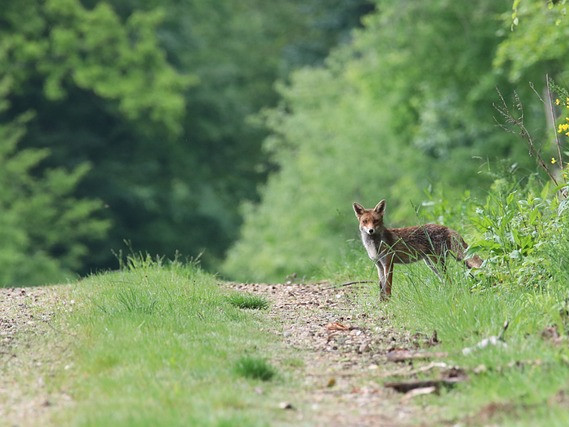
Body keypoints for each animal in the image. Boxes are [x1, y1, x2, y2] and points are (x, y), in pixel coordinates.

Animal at [352, 200, 482, 298]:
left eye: (376, 221)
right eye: (365, 221)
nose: (371, 230)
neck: (375, 246)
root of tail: (446, 227)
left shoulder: (388, 263)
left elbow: (388, 287)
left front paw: (389, 302)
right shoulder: (379, 265)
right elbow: (381, 287)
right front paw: (382, 301)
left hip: (437, 262)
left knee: (449, 279)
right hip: (431, 264)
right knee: (447, 280)